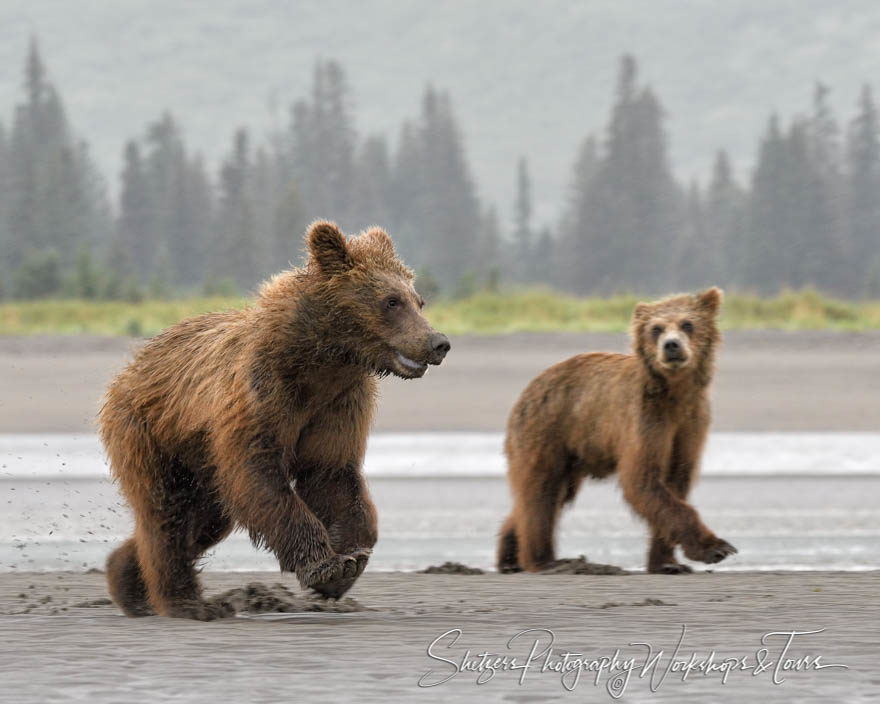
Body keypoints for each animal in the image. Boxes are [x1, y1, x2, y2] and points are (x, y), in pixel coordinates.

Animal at [99, 221, 450, 620]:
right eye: (391, 301)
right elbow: (261, 476)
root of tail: (130, 369)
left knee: (202, 523)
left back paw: (125, 580)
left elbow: (332, 474)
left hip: (201, 465)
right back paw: (186, 602)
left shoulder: (338, 404)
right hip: (148, 433)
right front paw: (325, 565)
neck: (320, 361)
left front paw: (349, 561)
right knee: (166, 518)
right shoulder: (261, 396)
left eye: (418, 301)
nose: (437, 342)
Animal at [496, 288, 736, 576]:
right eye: (656, 329)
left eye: (687, 324)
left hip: (572, 453)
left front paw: (667, 562)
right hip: (546, 431)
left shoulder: (690, 425)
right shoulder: (645, 420)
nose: (671, 346)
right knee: (541, 494)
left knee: (544, 498)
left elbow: (675, 481)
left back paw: (510, 558)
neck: (675, 394)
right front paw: (716, 548)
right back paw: (544, 561)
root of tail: (527, 389)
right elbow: (642, 480)